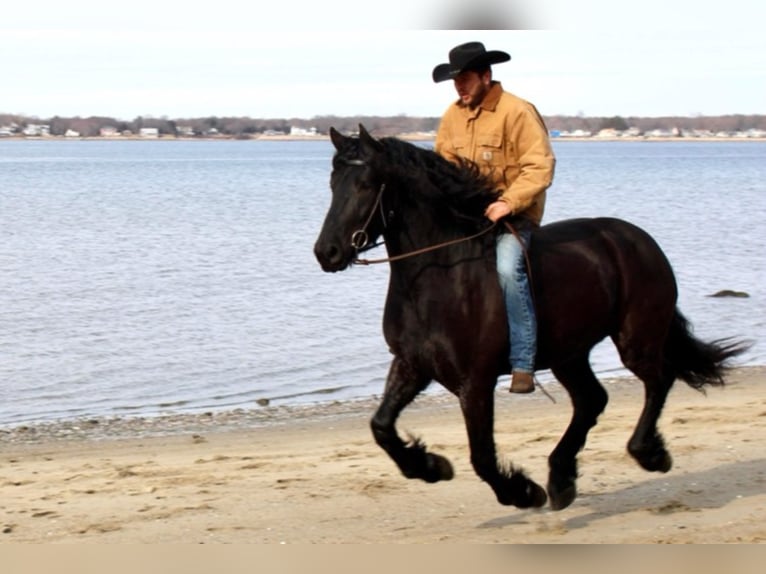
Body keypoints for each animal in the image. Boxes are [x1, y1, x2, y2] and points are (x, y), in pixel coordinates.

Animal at [314, 126, 752, 512]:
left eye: (366, 184)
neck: (442, 275)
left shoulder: (476, 381)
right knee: (592, 399)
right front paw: (431, 467)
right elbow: (381, 426)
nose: (326, 252)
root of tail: (639, 240)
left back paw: (647, 454)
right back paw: (561, 480)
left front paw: (522, 492)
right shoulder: (412, 364)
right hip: (568, 354)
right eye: (333, 184)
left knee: (659, 379)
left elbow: (482, 456)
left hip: (635, 340)